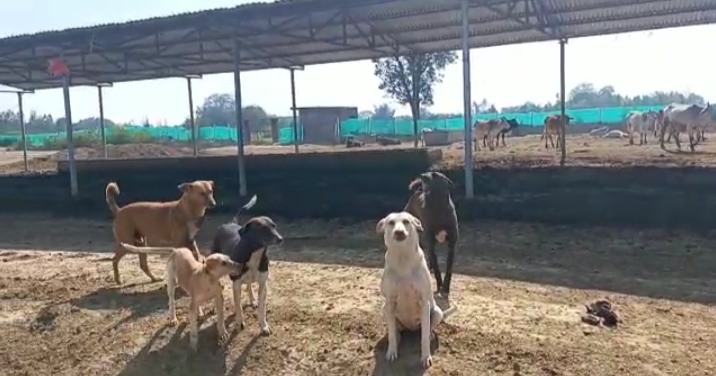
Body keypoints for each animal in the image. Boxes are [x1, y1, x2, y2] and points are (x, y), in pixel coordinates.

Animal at [210, 195, 282, 334]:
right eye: (263, 229)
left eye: (275, 226)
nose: (281, 238)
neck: (255, 253)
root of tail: (229, 223)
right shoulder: (236, 284)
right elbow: (238, 307)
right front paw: (239, 323)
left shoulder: (263, 284)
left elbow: (262, 309)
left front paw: (263, 326)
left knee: (248, 284)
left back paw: (252, 300)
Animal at [378, 210, 456, 368]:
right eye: (390, 223)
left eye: (406, 221)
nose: (399, 232)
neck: (403, 259)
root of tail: (411, 328)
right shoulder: (390, 301)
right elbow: (391, 333)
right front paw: (392, 351)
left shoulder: (424, 302)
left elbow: (424, 337)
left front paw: (426, 357)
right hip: (385, 308)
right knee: (395, 329)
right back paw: (397, 336)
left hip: (437, 312)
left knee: (427, 328)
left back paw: (430, 334)